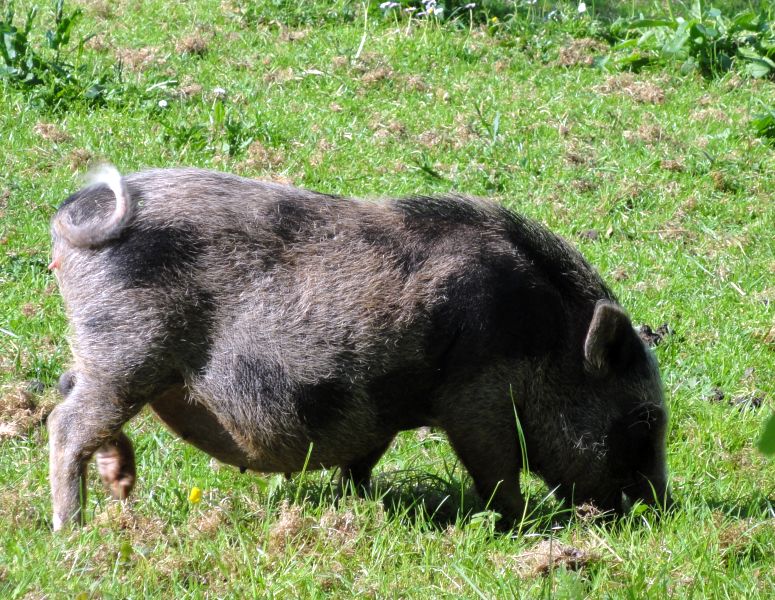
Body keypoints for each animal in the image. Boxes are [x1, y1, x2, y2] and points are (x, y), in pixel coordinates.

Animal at [47, 165, 672, 528]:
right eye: (643, 423)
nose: (663, 512)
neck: (545, 339)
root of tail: (74, 212)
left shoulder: (382, 409)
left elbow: (364, 456)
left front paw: (358, 498)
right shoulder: (476, 400)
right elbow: (497, 469)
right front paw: (521, 526)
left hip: (109, 355)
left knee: (68, 389)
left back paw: (120, 484)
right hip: (126, 351)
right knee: (65, 422)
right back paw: (72, 529)